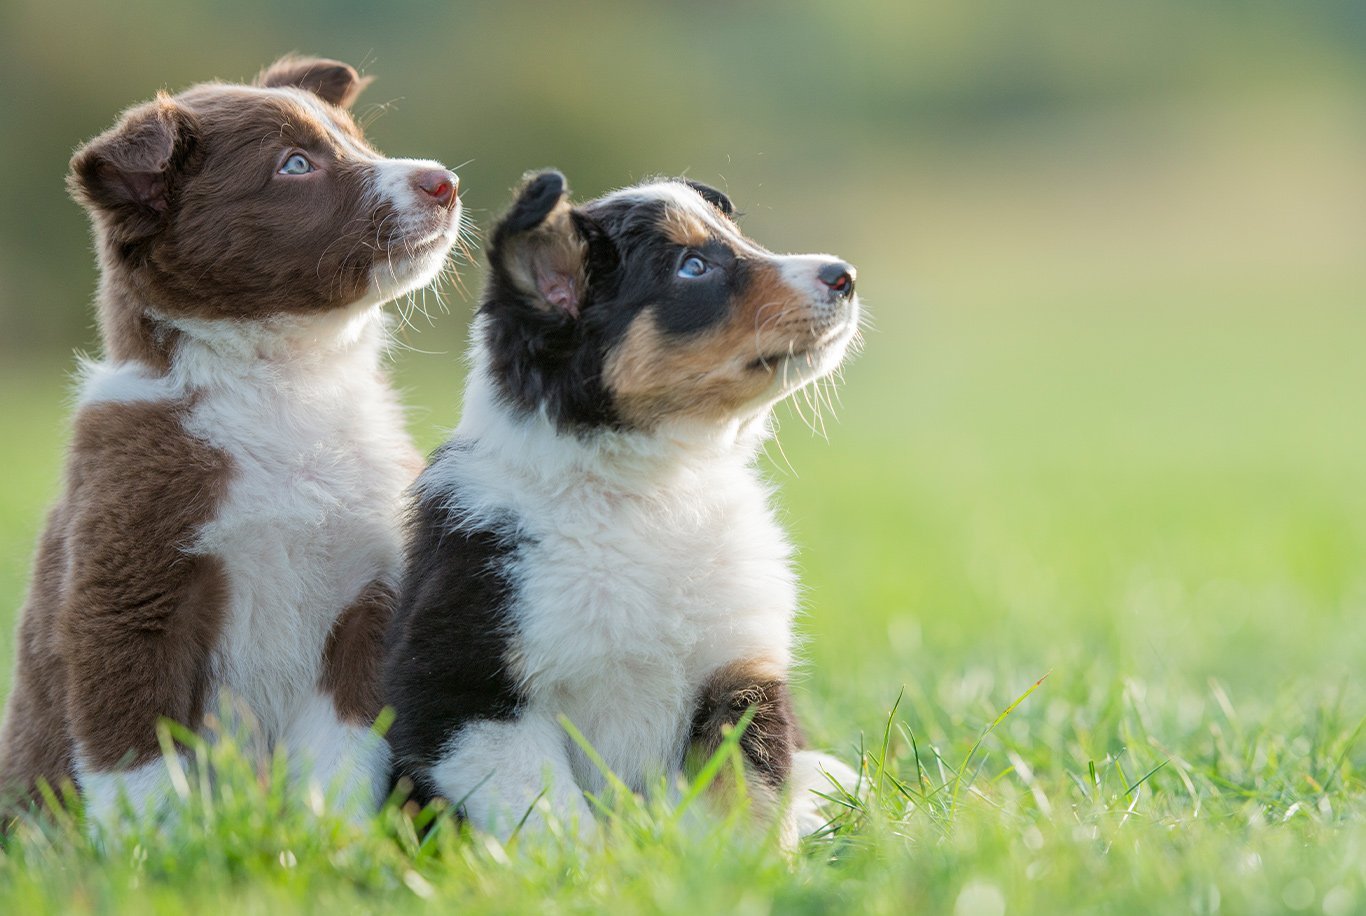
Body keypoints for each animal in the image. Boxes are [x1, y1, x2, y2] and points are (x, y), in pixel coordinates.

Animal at [0, 55, 464, 824]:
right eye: (295, 164)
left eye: (357, 141)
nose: (445, 182)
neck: (286, 384)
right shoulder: (126, 596)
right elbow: (139, 764)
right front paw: (161, 846)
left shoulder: (367, 598)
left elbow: (343, 754)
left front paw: (329, 838)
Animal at [379, 172, 857, 846]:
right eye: (693, 267)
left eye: (739, 240)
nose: (846, 276)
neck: (651, 492)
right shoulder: (464, 691)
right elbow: (549, 815)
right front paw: (592, 864)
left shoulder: (739, 676)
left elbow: (744, 805)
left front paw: (739, 862)